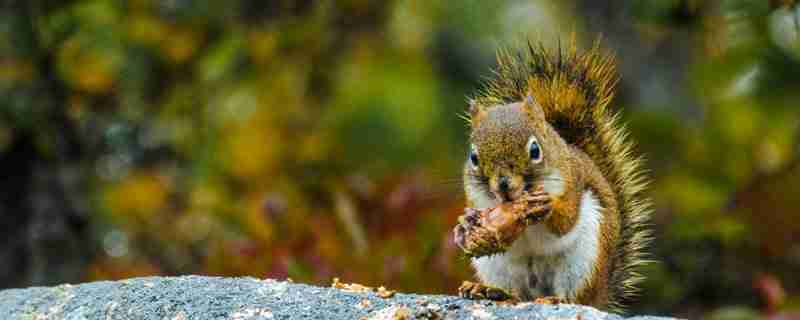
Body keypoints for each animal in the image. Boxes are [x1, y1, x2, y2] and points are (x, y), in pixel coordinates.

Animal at [454, 40, 652, 312]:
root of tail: (601, 298)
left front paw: (547, 206)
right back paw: (489, 290)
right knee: (515, 293)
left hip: (584, 260)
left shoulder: (572, 183)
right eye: (473, 157)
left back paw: (557, 298)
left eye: (535, 150)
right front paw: (467, 221)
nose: (504, 185)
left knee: (576, 298)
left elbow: (565, 221)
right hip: (496, 266)